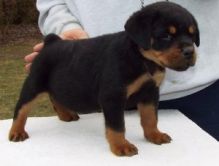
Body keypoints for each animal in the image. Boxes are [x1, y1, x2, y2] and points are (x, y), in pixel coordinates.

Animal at [9, 1, 199, 156]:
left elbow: (150, 117)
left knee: (55, 96)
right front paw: (121, 146)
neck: (142, 58)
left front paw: (154, 135)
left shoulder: (150, 93)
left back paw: (66, 115)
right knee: (21, 108)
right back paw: (16, 132)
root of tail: (51, 41)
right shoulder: (113, 96)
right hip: (34, 83)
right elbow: (117, 125)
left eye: (192, 35)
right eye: (166, 36)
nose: (189, 51)